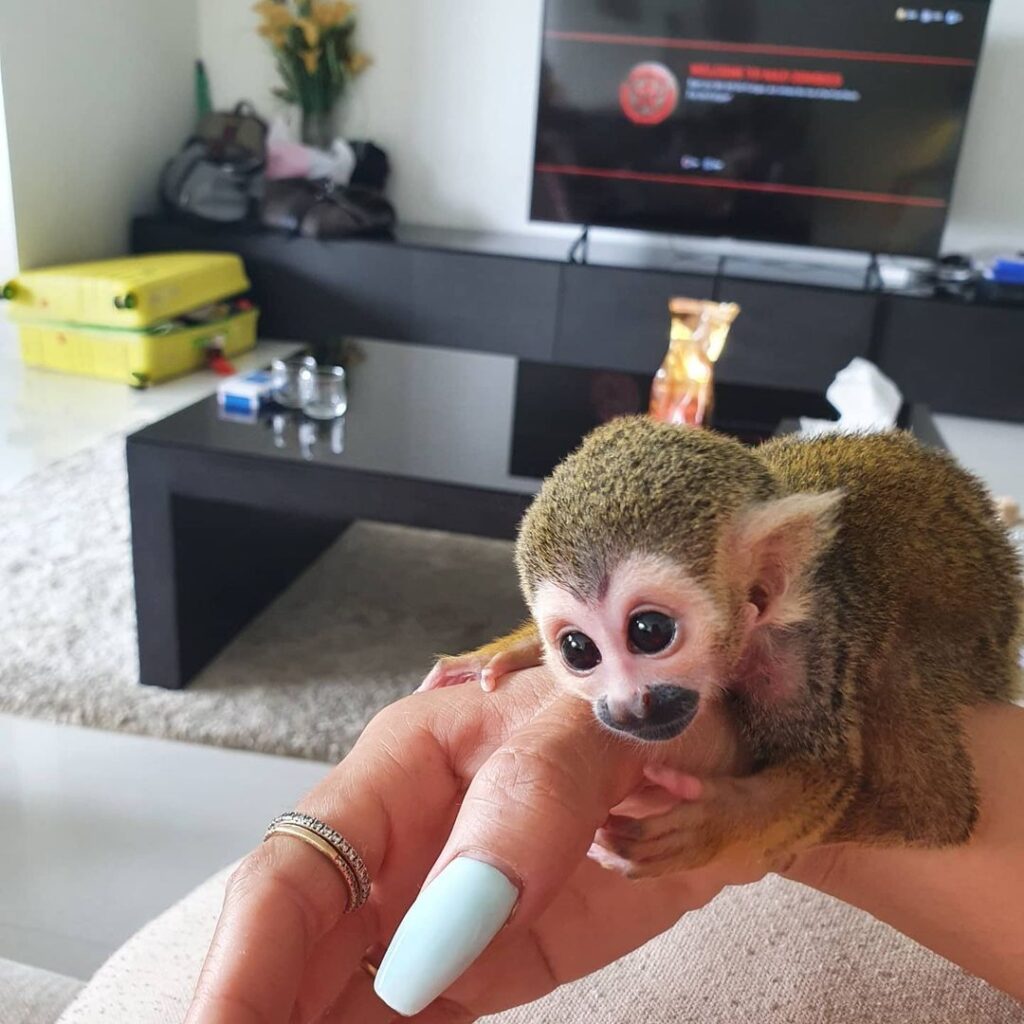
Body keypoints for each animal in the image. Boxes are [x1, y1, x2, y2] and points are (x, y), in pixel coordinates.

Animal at [420, 416, 1023, 877]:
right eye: (577, 649)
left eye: (649, 632)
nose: (626, 706)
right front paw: (501, 653)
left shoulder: (801, 649)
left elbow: (822, 769)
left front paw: (709, 825)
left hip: (974, 641)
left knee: (901, 677)